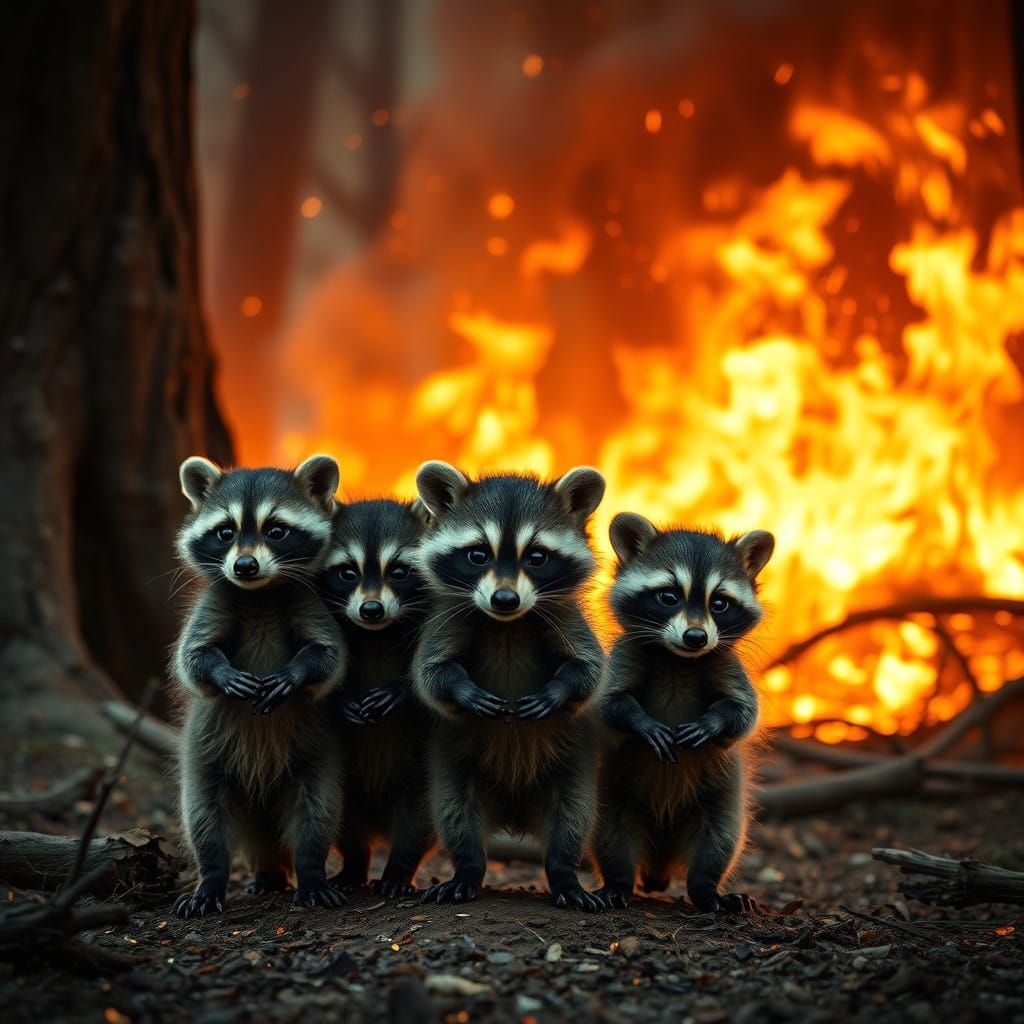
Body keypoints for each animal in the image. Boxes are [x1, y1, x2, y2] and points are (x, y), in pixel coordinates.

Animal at [171, 455, 347, 917]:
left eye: (276, 530)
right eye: (225, 532)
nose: (245, 567)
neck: (260, 592)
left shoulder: (308, 602)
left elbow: (329, 657)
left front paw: (297, 672)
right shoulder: (215, 601)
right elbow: (192, 660)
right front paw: (219, 672)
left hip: (316, 755)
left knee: (316, 811)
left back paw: (310, 871)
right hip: (206, 755)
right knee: (205, 817)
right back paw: (213, 878)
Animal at [319, 498, 436, 897]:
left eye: (398, 571)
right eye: (347, 572)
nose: (371, 610)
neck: (377, 633)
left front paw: (403, 690)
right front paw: (339, 698)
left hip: (415, 772)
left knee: (418, 820)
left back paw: (399, 867)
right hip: (349, 787)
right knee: (343, 820)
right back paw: (355, 863)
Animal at [412, 462, 607, 912]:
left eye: (536, 557)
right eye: (477, 554)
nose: (504, 600)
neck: (507, 625)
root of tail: (515, 813)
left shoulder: (564, 616)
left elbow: (589, 670)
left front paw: (559, 689)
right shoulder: (449, 617)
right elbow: (431, 675)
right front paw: (462, 689)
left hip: (571, 766)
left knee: (572, 818)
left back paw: (564, 873)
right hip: (457, 764)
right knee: (456, 814)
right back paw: (467, 868)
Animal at [594, 514, 774, 914]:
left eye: (719, 603)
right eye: (669, 596)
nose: (695, 637)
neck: (678, 659)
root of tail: (659, 859)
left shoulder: (724, 662)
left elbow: (743, 712)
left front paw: (714, 722)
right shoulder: (625, 654)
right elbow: (608, 704)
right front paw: (640, 721)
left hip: (721, 791)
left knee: (719, 837)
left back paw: (707, 889)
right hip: (614, 789)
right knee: (611, 832)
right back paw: (618, 881)